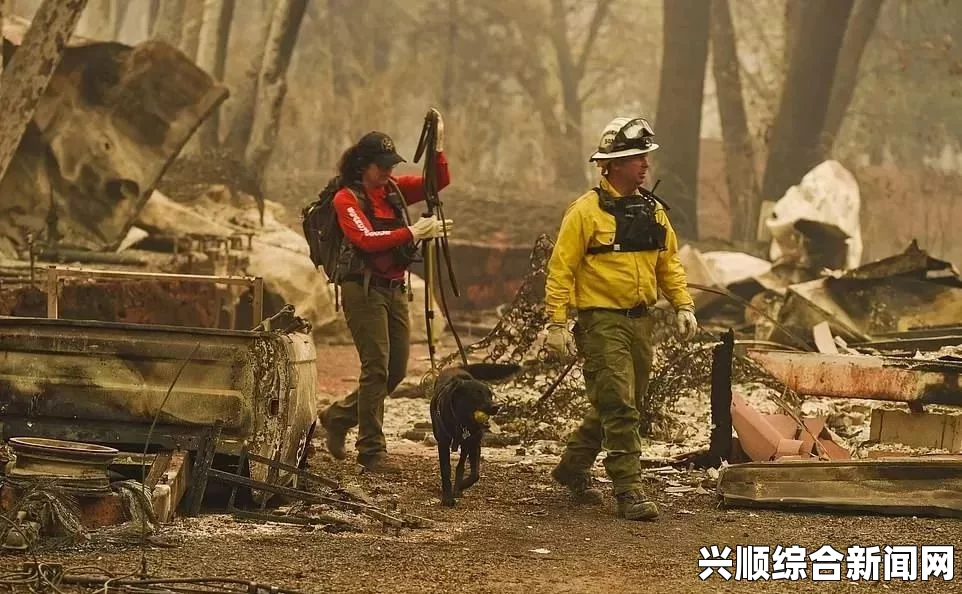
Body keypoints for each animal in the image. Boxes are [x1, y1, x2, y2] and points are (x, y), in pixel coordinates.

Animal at [430, 360, 516, 504]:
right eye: (477, 394)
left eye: (490, 395)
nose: (496, 407)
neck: (461, 421)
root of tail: (457, 368)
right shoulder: (443, 443)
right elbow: (446, 470)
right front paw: (447, 498)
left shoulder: (474, 442)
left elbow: (475, 473)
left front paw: (461, 486)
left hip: (466, 445)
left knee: (461, 465)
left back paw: (458, 488)